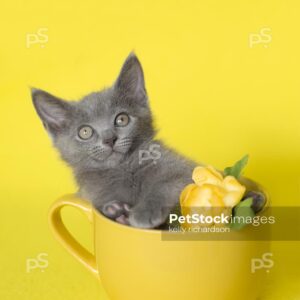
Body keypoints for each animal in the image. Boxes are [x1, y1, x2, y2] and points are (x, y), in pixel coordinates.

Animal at [31, 53, 197, 227]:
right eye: (85, 132)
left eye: (122, 119)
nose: (109, 139)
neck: (122, 169)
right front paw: (116, 212)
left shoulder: (183, 168)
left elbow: (168, 183)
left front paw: (145, 212)